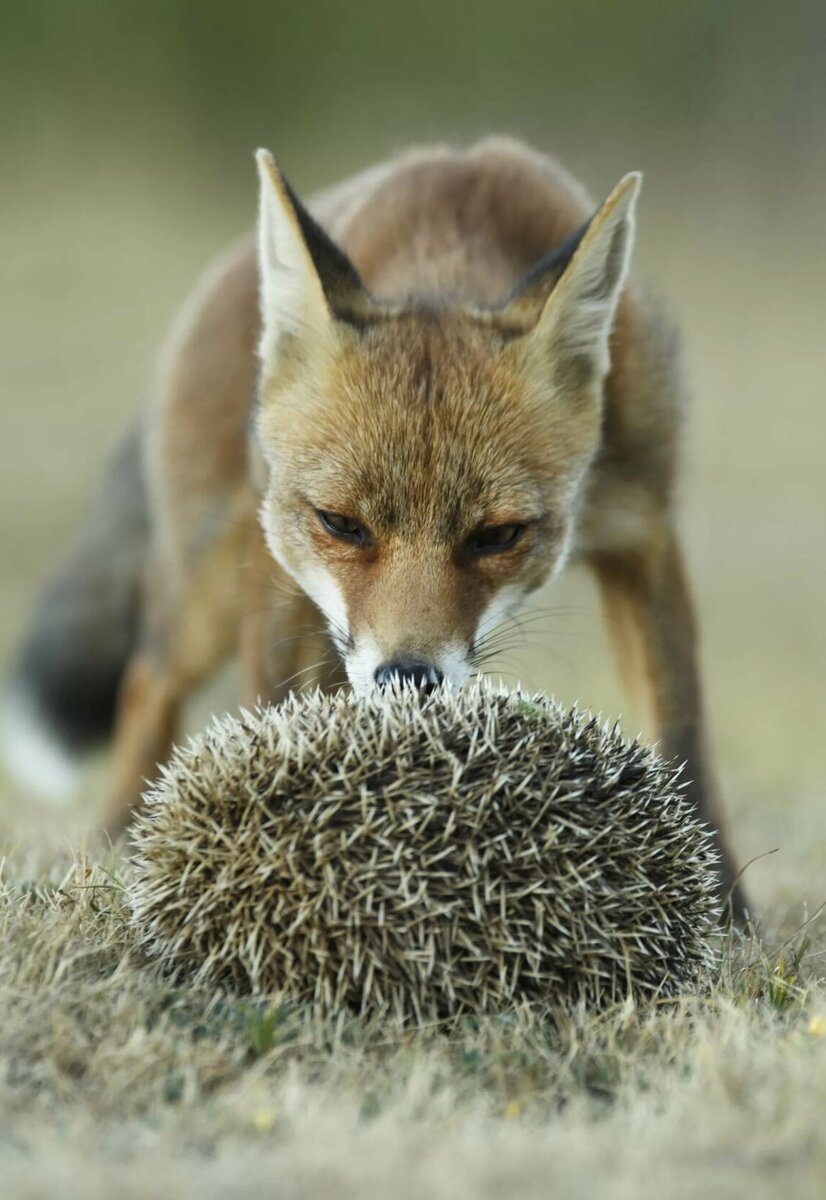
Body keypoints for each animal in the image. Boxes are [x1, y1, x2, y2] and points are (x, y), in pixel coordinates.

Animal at [1, 133, 749, 916]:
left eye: (497, 536)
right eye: (341, 523)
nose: (407, 678)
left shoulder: (645, 533)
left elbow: (685, 736)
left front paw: (727, 914)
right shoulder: (276, 573)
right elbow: (264, 708)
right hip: (210, 597)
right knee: (147, 682)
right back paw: (115, 839)